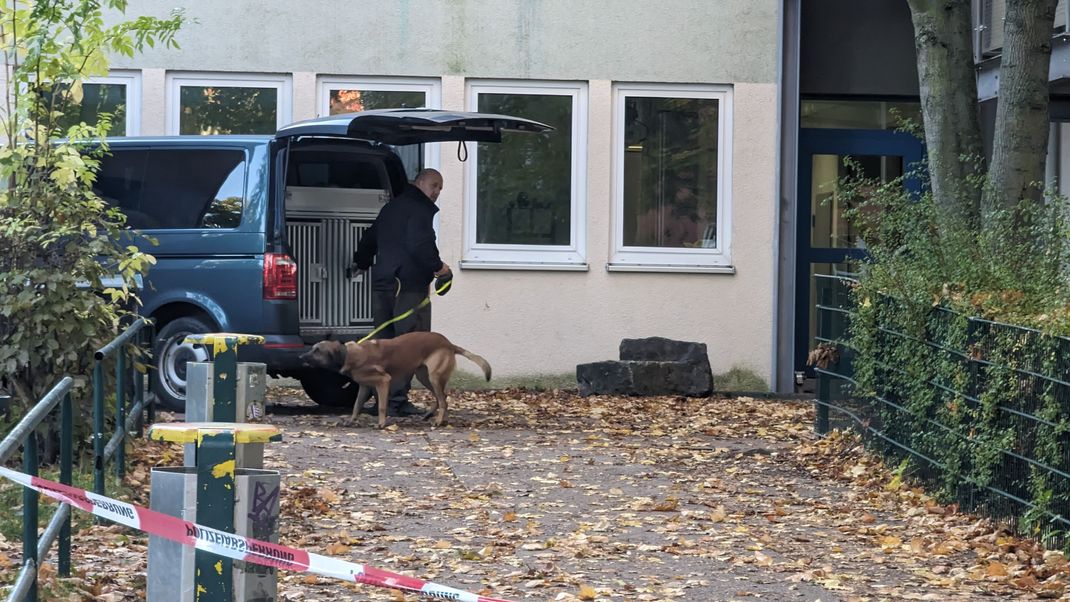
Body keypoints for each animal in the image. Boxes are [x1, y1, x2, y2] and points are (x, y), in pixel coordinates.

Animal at [301, 333, 492, 427]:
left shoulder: (384, 381)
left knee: (443, 401)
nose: (300, 356)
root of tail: (449, 344)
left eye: (317, 351)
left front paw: (381, 424)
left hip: (433, 377)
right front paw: (351, 420)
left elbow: (382, 406)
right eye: (312, 349)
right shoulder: (364, 387)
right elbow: (356, 405)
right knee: (442, 398)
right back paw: (432, 416)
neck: (348, 354)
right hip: (424, 376)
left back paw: (438, 421)